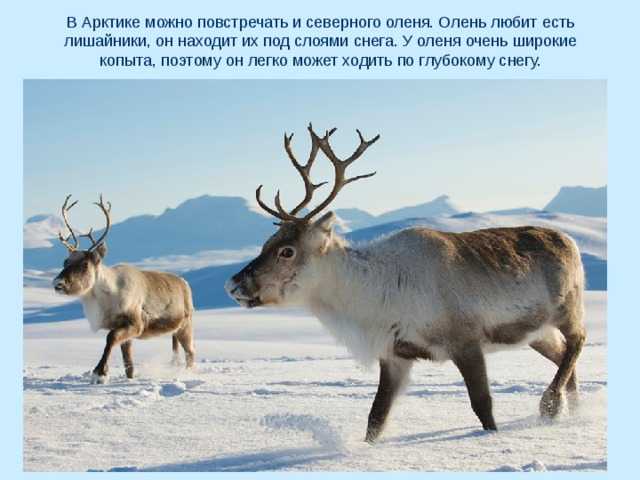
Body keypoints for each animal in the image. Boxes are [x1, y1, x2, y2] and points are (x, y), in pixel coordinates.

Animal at [52, 195, 195, 384]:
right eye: (65, 262)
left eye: (85, 264)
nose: (58, 282)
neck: (107, 298)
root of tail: (184, 283)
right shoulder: (121, 328)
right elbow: (129, 363)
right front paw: (127, 378)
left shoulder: (135, 324)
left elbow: (110, 338)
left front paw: (100, 373)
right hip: (176, 330)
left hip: (186, 325)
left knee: (191, 353)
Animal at [225, 123, 586, 443]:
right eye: (266, 242)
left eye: (287, 251)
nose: (232, 284)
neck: (373, 296)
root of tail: (570, 240)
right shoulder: (395, 355)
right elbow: (376, 418)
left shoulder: (465, 341)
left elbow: (483, 405)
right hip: (536, 332)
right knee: (563, 356)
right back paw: (573, 410)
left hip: (567, 308)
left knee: (577, 341)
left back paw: (551, 405)